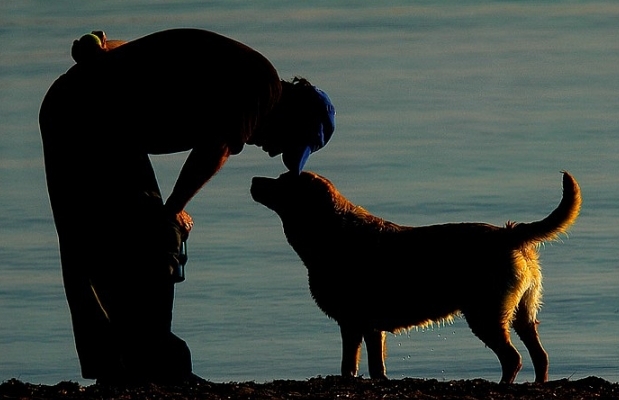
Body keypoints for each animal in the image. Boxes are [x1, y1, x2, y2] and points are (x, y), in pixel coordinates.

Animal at [249, 170, 580, 382]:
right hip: (523, 312)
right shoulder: (369, 327)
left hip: (485, 315)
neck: (331, 231)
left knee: (513, 358)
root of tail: (509, 233)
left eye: (282, 182)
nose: (254, 180)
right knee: (539, 356)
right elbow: (371, 367)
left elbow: (353, 366)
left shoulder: (354, 322)